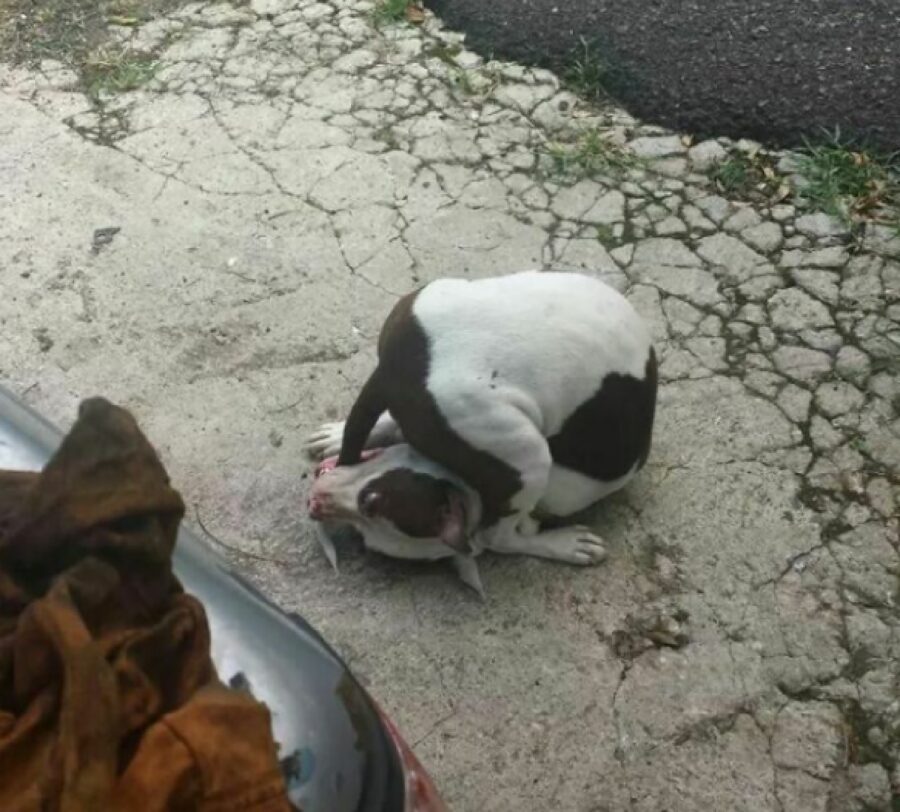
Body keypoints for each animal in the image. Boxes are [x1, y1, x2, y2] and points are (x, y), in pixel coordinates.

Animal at [306, 270, 656, 592]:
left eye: (371, 502)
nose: (316, 501)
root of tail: (395, 368)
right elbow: (504, 537)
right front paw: (560, 544)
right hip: (527, 456)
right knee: (501, 536)